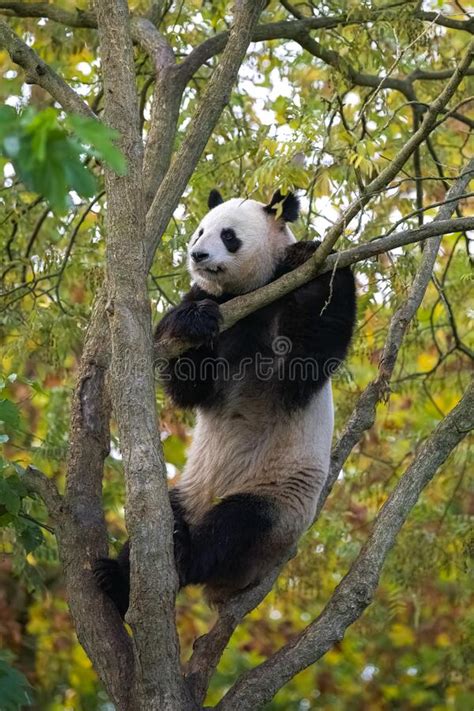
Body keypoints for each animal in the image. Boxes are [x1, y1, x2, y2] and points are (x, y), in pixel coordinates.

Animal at [94, 189, 356, 616]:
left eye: (229, 236)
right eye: (200, 230)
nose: (197, 254)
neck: (245, 294)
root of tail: (226, 589)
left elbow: (305, 357)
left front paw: (309, 258)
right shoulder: (214, 304)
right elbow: (191, 384)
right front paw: (194, 322)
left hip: (279, 501)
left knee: (235, 528)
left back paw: (187, 555)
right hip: (189, 490)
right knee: (162, 517)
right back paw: (117, 579)